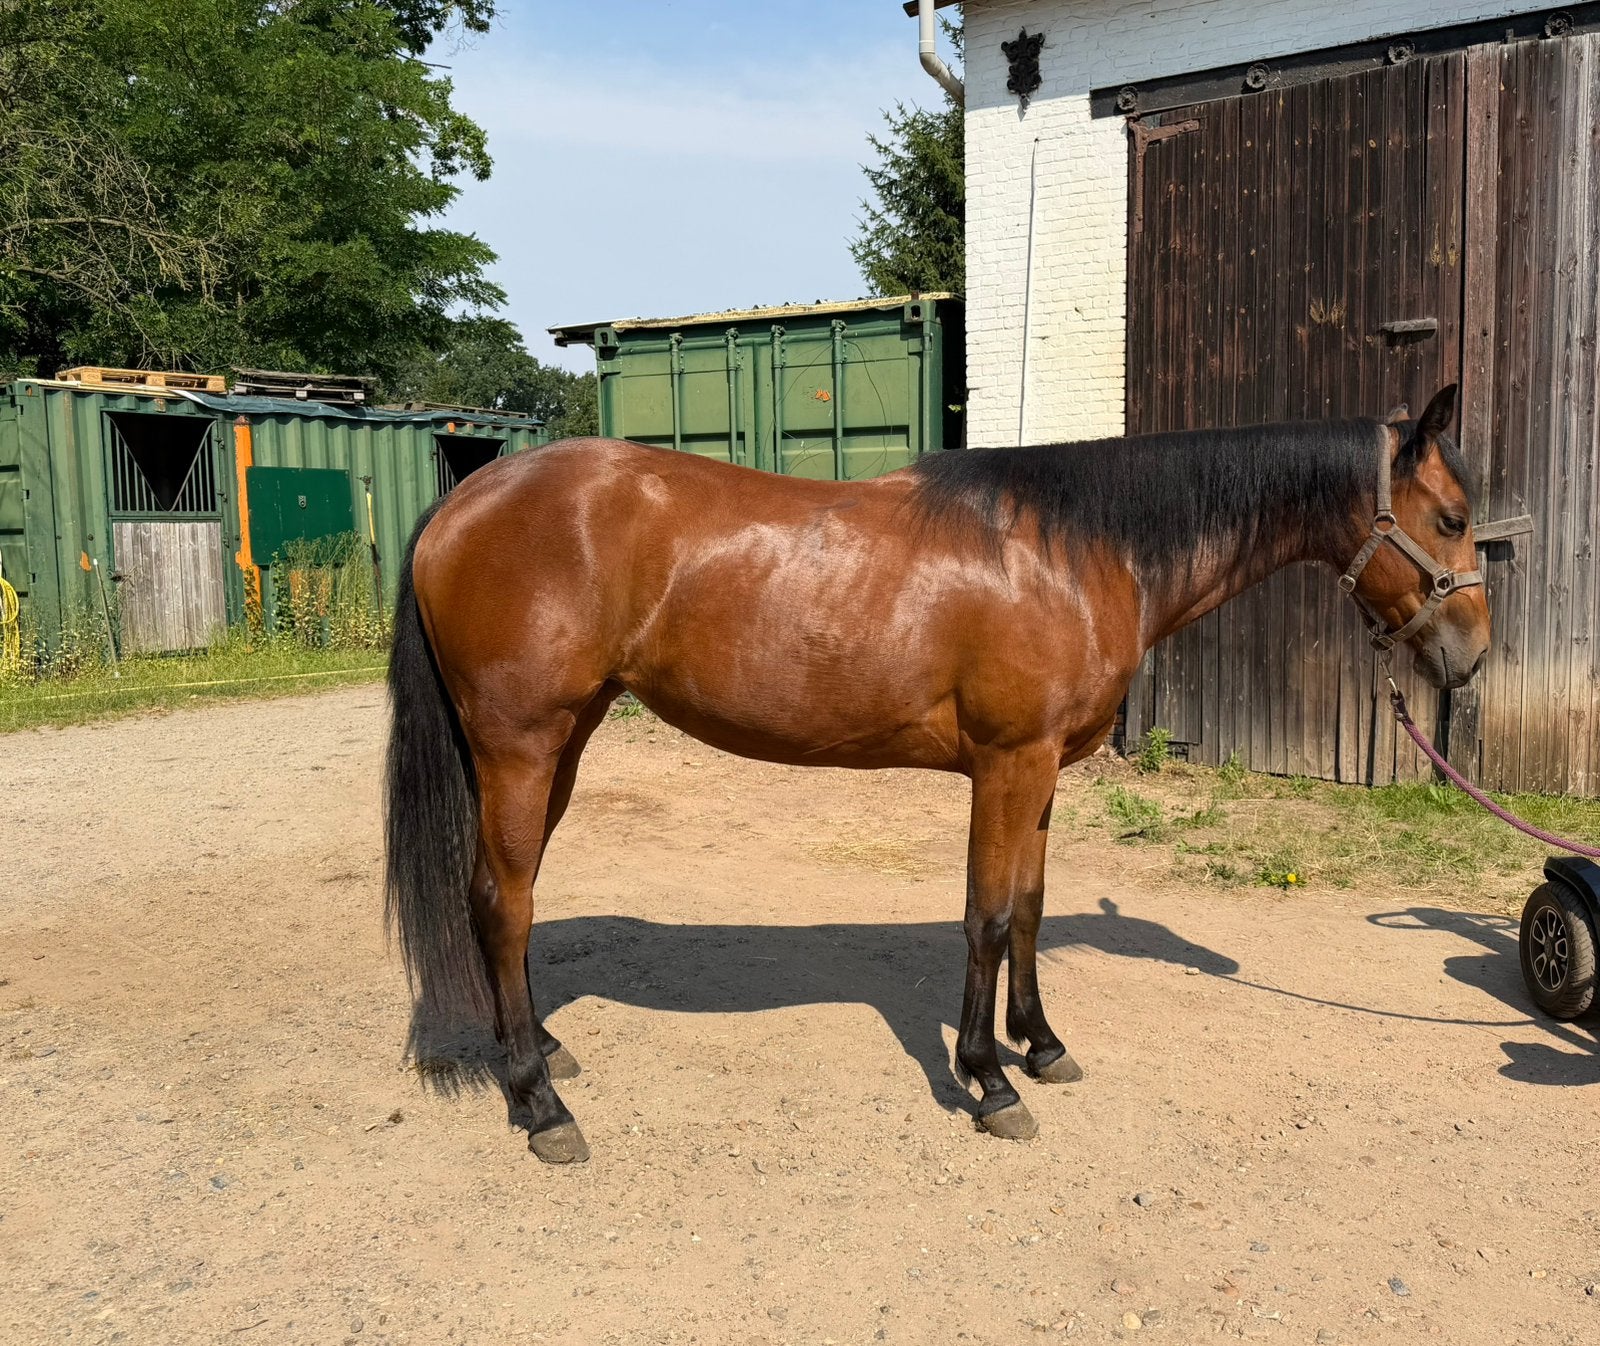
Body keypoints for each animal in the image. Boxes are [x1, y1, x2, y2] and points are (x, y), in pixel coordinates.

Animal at [384, 383, 1490, 1163]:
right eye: (1449, 517)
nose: (1471, 656)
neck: (1076, 551)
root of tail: (461, 499)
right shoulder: (1007, 764)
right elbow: (988, 917)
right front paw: (988, 1080)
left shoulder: (1045, 772)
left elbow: (1030, 910)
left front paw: (1041, 1045)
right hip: (522, 743)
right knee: (502, 903)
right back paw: (539, 1102)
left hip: (561, 742)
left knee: (502, 899)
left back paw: (536, 1052)